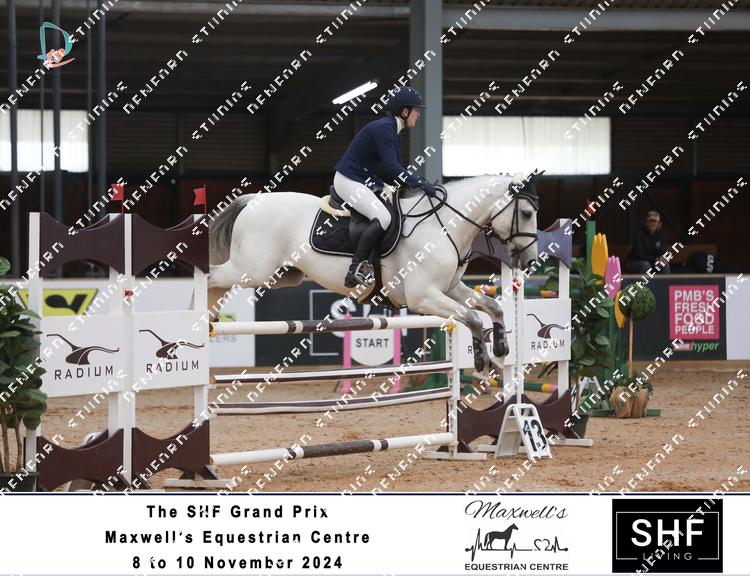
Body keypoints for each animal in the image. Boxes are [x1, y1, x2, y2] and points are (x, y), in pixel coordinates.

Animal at [208, 172, 541, 372]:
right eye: (526, 213)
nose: (529, 261)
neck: (444, 224)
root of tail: (253, 201)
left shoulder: (450, 289)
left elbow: (493, 306)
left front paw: (501, 350)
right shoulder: (423, 297)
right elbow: (471, 317)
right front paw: (484, 363)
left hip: (280, 275)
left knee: (219, 285)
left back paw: (210, 321)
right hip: (252, 269)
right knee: (212, 277)